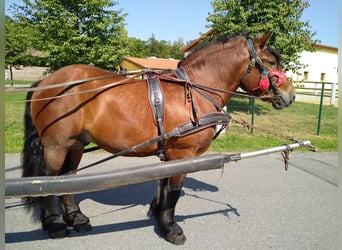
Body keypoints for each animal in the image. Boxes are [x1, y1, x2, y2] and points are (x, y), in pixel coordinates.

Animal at [22, 32, 294, 245]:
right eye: (271, 62)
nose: (290, 95)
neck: (194, 90)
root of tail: (46, 81)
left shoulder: (171, 154)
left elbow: (163, 186)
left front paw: (159, 217)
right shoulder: (182, 154)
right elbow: (173, 191)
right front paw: (171, 229)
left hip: (76, 144)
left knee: (67, 178)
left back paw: (76, 218)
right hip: (56, 145)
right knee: (48, 180)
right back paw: (55, 225)